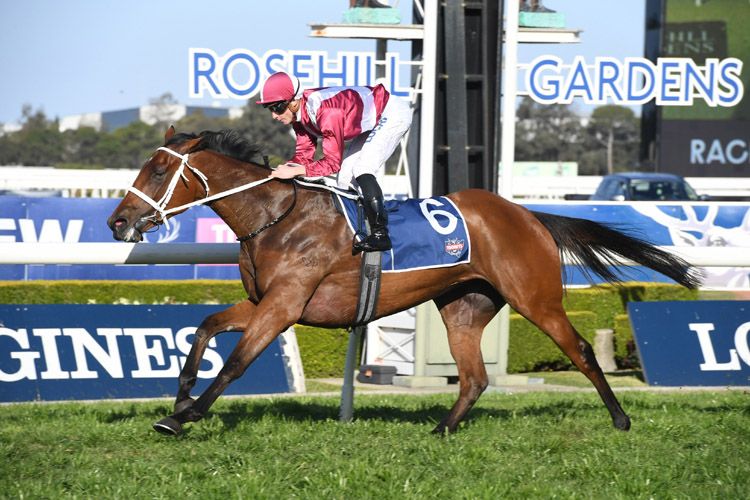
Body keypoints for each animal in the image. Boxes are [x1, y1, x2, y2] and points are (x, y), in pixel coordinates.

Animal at [108, 127, 704, 436]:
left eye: (157, 171)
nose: (117, 222)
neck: (276, 217)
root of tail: (529, 214)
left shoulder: (285, 306)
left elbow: (235, 363)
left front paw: (183, 417)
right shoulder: (262, 301)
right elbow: (206, 327)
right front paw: (180, 396)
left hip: (536, 298)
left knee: (578, 349)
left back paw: (621, 418)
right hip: (464, 305)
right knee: (474, 377)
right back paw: (442, 429)